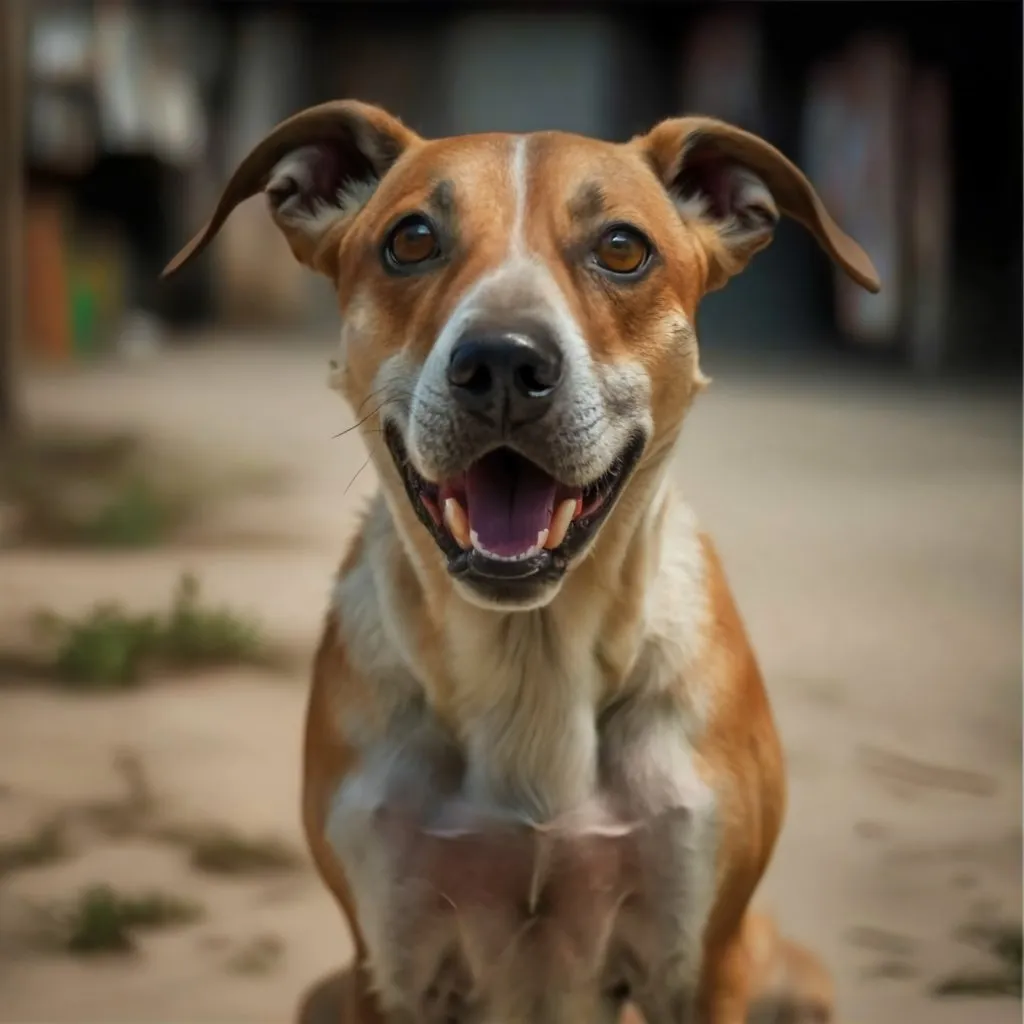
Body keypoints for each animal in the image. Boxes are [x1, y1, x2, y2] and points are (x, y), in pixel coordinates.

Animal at [163, 101, 876, 1024]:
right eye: (411, 239)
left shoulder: (701, 954)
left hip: (790, 974)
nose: (502, 360)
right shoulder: (387, 958)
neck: (531, 657)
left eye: (622, 247)